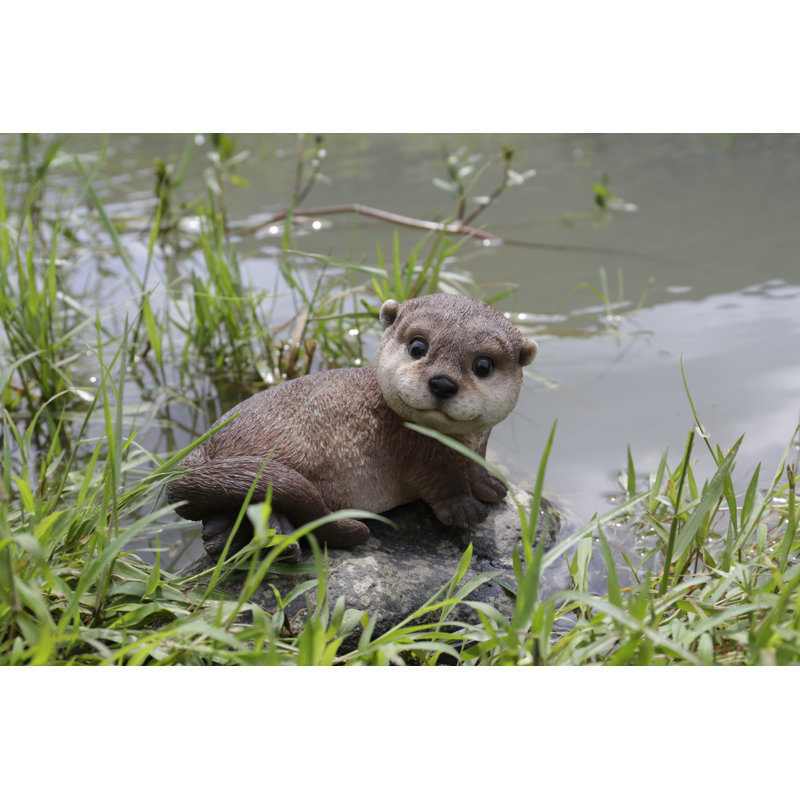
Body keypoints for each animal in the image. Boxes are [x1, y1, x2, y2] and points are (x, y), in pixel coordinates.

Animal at [166, 294, 538, 557]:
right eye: (418, 346)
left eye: (483, 365)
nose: (443, 383)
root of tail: (206, 440)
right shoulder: (423, 456)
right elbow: (442, 483)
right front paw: (465, 509)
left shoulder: (478, 446)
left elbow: (476, 469)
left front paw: (491, 486)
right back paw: (277, 537)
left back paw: (221, 538)